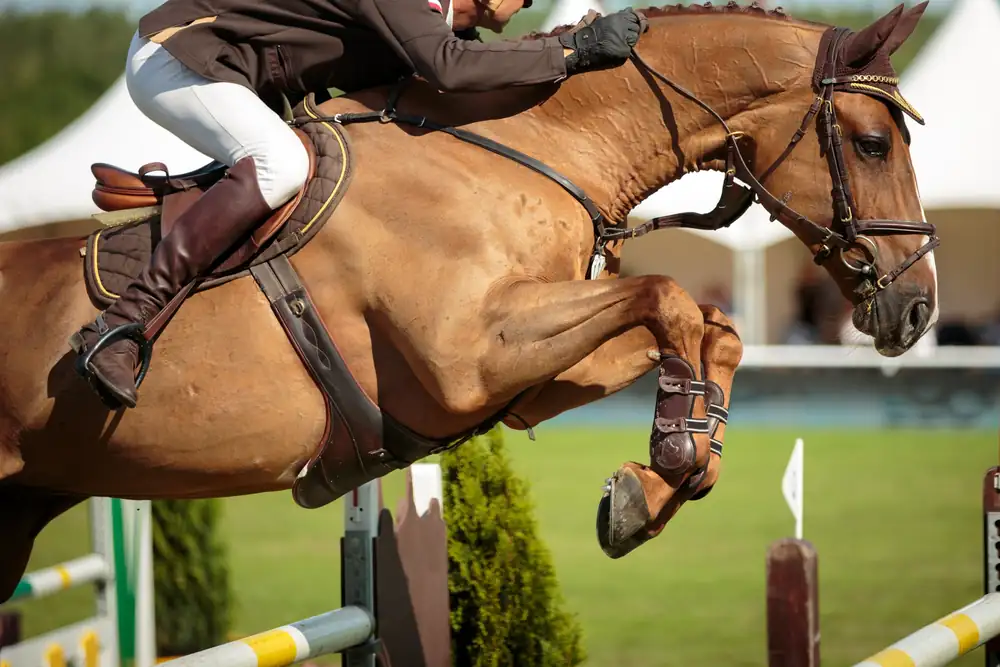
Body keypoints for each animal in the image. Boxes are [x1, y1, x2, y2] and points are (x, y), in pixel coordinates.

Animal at [0, 0, 939, 597]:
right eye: (872, 141)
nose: (919, 309)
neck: (526, 149)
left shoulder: (518, 381)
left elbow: (715, 328)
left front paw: (661, 476)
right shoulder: (467, 361)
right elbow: (670, 295)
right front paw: (671, 456)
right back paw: (113, 352)